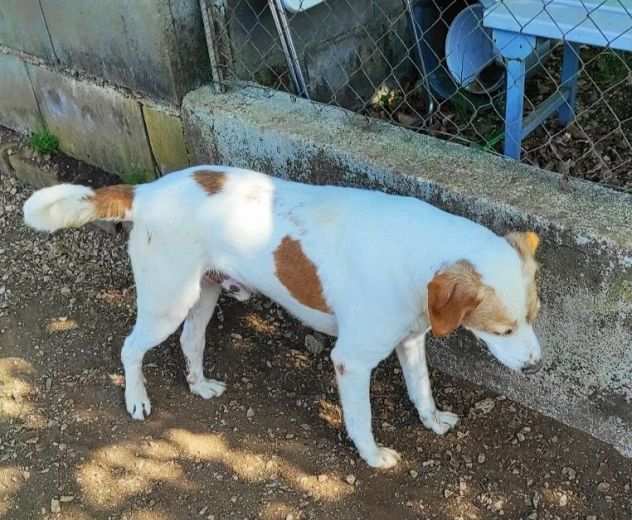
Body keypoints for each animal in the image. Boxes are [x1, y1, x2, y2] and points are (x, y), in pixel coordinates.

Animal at [22, 168, 540, 472]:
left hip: (203, 294)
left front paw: (431, 421)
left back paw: (199, 385)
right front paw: (373, 456)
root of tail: (147, 190)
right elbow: (361, 419)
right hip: (167, 302)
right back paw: (136, 399)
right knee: (130, 348)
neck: (417, 255)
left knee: (191, 343)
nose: (536, 367)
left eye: (534, 317)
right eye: (503, 329)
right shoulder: (351, 361)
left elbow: (422, 390)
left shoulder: (411, 340)